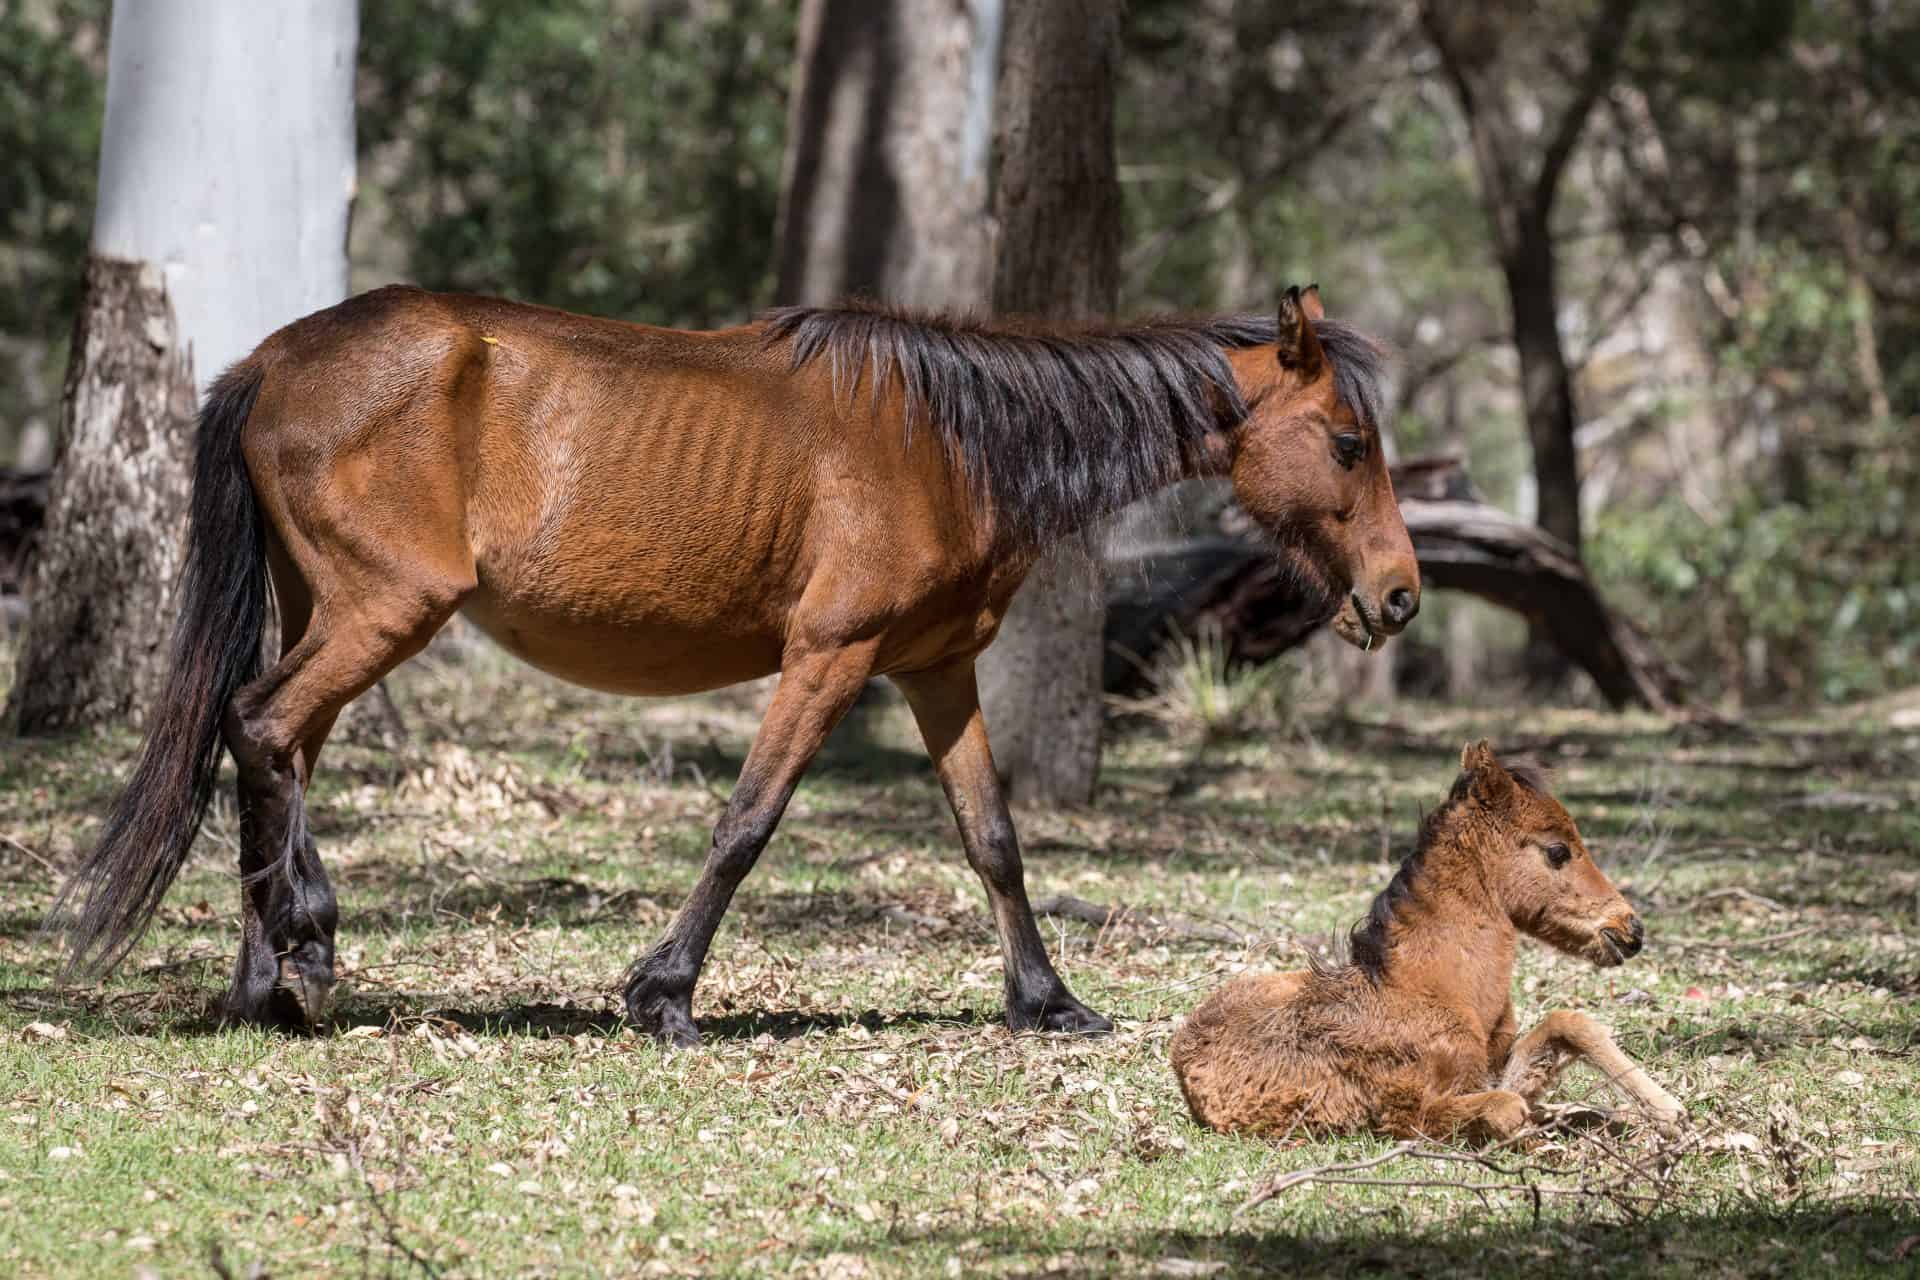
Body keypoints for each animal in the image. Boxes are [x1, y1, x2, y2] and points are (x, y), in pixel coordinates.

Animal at [52, 282, 1419, 1045]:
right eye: (1348, 443)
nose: (1399, 595)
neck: (956, 439)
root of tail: (268, 360)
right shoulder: (832, 654)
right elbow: (746, 822)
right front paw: (663, 995)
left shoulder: (935, 671)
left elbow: (993, 837)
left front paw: (1048, 1001)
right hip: (381, 611)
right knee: (261, 725)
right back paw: (309, 946)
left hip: (328, 609)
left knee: (269, 743)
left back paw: (264, 983)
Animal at [1170, 742, 1683, 1142]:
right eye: (1557, 851)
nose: (1631, 930)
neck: (1435, 987)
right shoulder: (1408, 1112)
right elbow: (1508, 1110)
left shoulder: (1490, 1068)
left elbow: (1566, 1024)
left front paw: (1664, 1111)